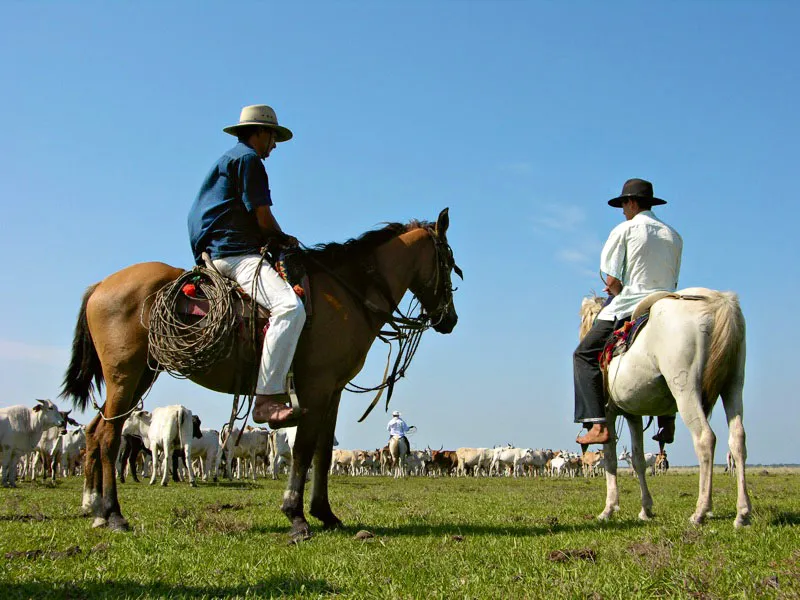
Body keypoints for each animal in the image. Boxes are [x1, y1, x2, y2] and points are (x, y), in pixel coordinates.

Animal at [61, 207, 462, 540]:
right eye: (449, 260)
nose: (450, 319)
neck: (349, 292)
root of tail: (101, 286)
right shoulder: (315, 387)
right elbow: (303, 450)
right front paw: (296, 515)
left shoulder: (333, 391)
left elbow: (321, 453)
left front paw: (325, 513)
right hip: (125, 376)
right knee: (109, 437)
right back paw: (113, 514)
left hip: (139, 376)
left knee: (96, 432)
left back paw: (94, 508)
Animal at [580, 288, 752, 528]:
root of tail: (718, 302)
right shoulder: (633, 414)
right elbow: (638, 459)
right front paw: (645, 509)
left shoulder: (609, 413)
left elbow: (611, 458)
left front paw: (609, 509)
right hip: (733, 384)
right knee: (737, 438)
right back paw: (742, 513)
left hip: (685, 388)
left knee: (705, 438)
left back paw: (700, 511)